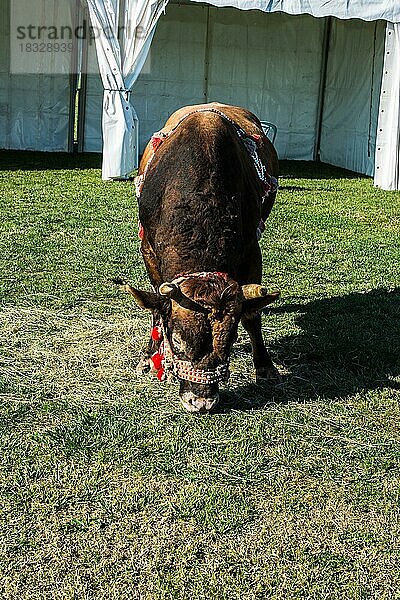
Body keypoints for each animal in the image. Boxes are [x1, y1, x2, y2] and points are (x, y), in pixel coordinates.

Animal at [119, 102, 282, 412]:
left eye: (230, 341)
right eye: (177, 341)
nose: (201, 402)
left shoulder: (252, 251)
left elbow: (252, 316)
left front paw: (265, 365)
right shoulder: (148, 249)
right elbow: (156, 307)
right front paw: (149, 357)